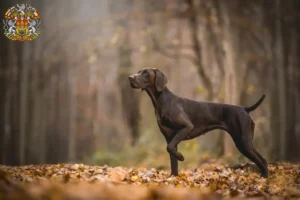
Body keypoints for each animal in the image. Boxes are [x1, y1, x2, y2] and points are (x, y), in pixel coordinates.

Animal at [127, 68, 268, 177]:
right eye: (139, 71)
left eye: (146, 73)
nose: (130, 78)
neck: (161, 101)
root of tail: (244, 108)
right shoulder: (170, 137)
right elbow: (172, 160)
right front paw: (173, 178)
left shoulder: (186, 127)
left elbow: (170, 148)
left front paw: (180, 157)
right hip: (247, 141)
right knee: (263, 160)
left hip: (242, 141)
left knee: (262, 161)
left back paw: (263, 179)